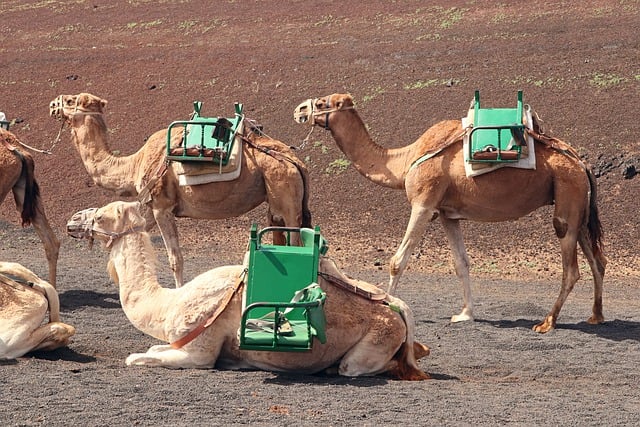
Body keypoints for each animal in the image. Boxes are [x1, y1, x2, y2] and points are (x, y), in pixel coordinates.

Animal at [48, 93, 312, 288]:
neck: (134, 165)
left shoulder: (161, 206)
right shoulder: (151, 208)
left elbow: (176, 259)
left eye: (70, 101)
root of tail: (296, 162)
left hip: (285, 196)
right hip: (277, 202)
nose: (52, 105)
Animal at [65, 201, 430, 382]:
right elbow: (154, 350)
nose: (72, 220)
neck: (167, 304)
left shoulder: (198, 352)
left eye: (100, 216)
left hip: (374, 343)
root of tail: (398, 311)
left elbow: (137, 359)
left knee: (359, 367)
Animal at [296, 93, 604, 334]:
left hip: (567, 191)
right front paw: (465, 314)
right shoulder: (448, 214)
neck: (405, 161)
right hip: (577, 204)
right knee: (596, 260)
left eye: (322, 102)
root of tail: (581, 163)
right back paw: (596, 315)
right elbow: (461, 263)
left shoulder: (424, 203)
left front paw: (388, 305)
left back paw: (547, 322)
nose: (299, 109)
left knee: (571, 268)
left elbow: (398, 261)